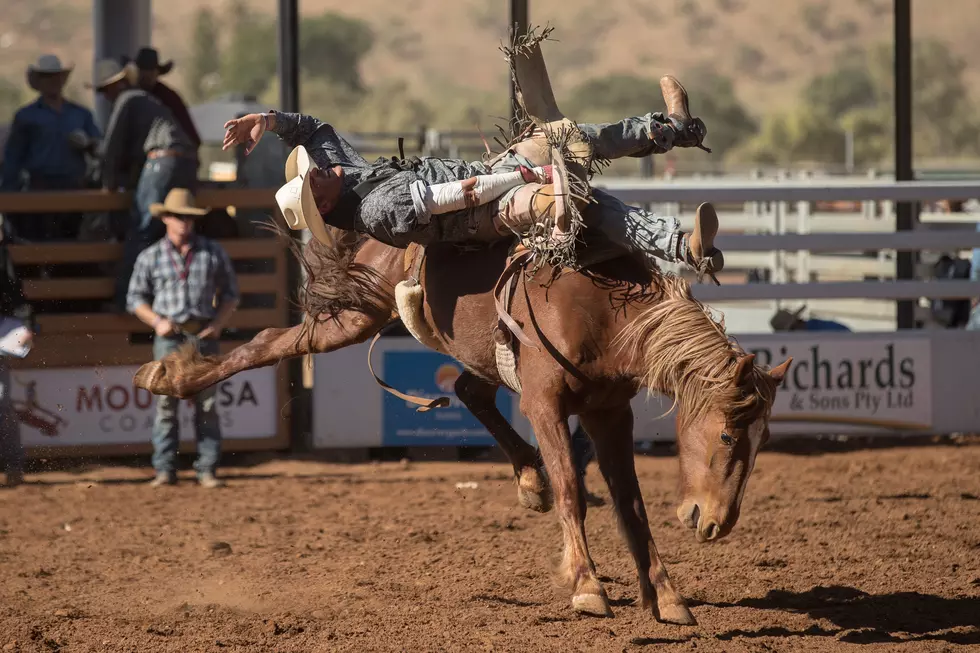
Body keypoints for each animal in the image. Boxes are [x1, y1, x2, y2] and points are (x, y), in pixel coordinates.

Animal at [136, 229, 788, 620]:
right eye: (728, 435)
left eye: (762, 445)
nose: (716, 523)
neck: (605, 309)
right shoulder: (547, 405)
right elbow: (575, 491)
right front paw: (587, 586)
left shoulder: (609, 413)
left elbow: (631, 504)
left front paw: (667, 595)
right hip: (355, 314)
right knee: (273, 341)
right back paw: (169, 375)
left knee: (470, 389)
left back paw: (528, 480)